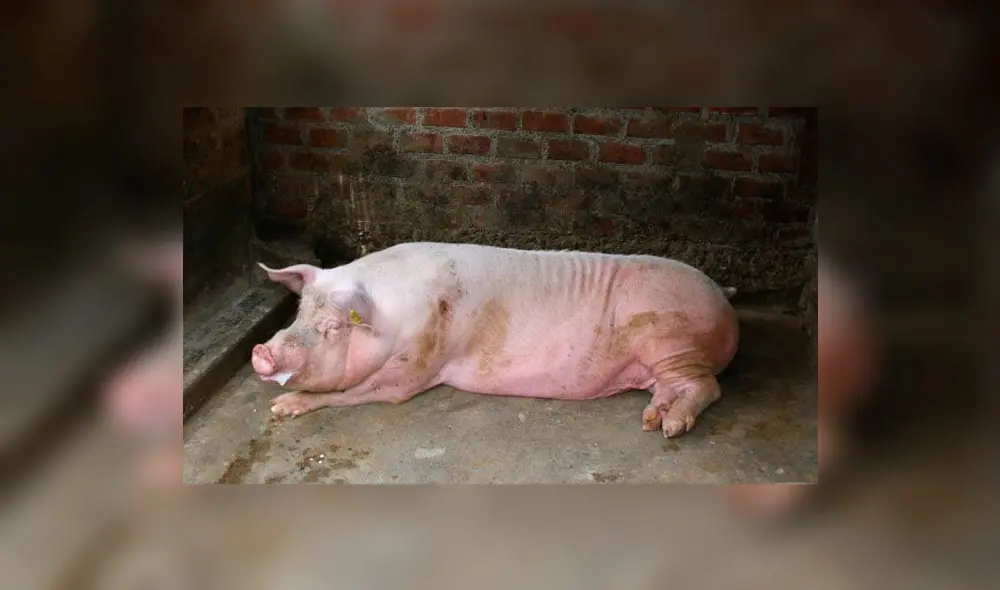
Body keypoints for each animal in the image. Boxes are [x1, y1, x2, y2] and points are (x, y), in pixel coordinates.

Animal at [252, 242, 738, 437]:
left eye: (334, 327)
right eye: (299, 312)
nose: (260, 353)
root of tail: (723, 296)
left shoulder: (415, 368)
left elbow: (357, 392)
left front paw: (283, 407)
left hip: (673, 343)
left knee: (709, 387)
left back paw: (670, 429)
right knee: (671, 388)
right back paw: (652, 420)